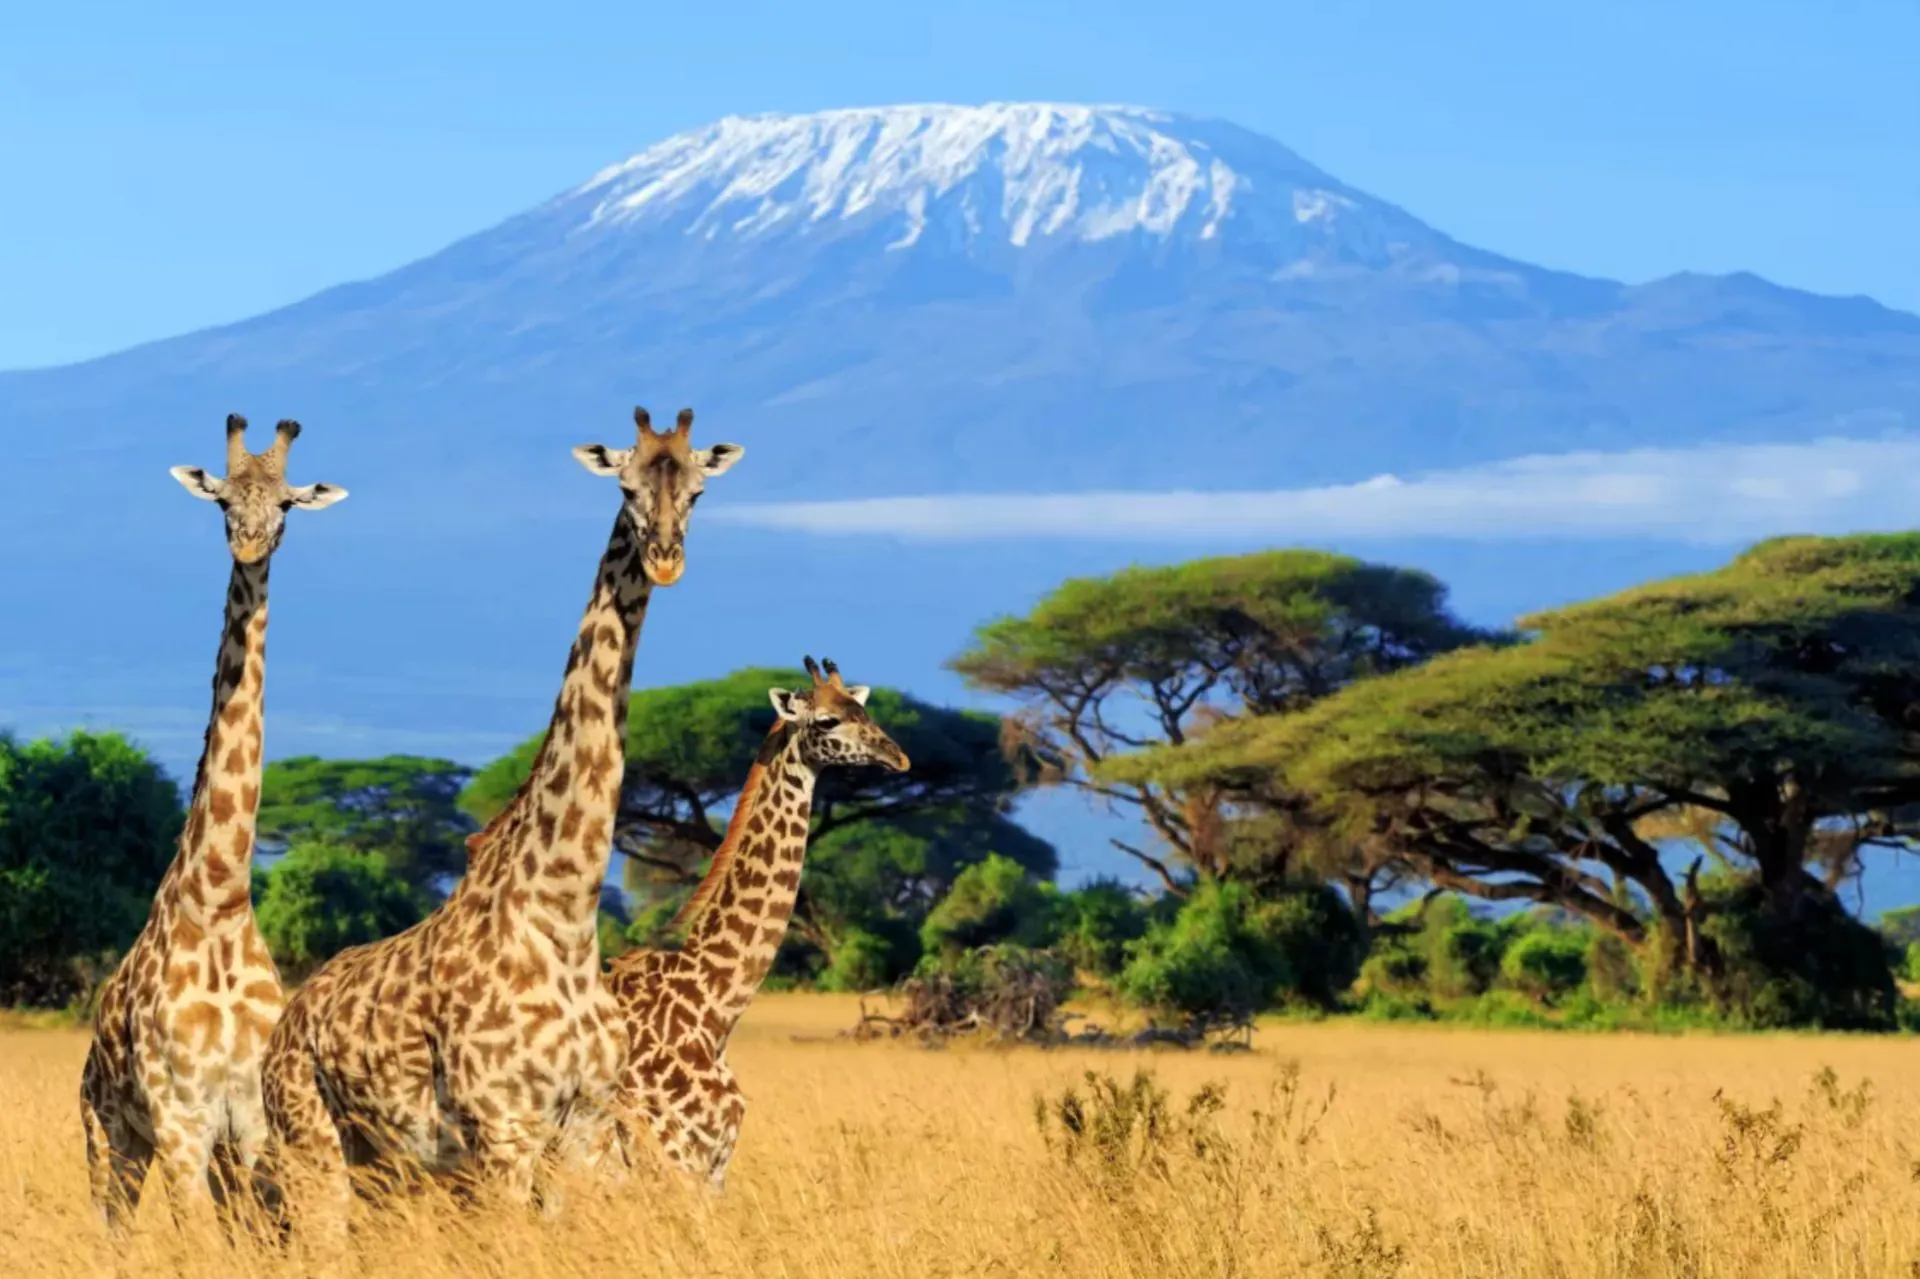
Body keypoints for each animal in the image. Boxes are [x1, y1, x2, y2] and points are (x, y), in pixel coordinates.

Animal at [79, 414, 348, 1234]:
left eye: (287, 503)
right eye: (223, 499)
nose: (251, 544)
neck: (221, 897)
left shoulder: (251, 1124)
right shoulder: (180, 1123)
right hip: (109, 1136)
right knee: (111, 1228)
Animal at [260, 406, 742, 1231]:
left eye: (699, 490)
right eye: (625, 485)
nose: (666, 559)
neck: (564, 913)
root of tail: (284, 1027)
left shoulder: (583, 1127)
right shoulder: (504, 1130)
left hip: (381, 1162)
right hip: (311, 1142)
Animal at [603, 657, 909, 1188]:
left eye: (864, 711)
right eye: (827, 720)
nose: (900, 758)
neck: (713, 1006)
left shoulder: (714, 1164)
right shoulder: (676, 1158)